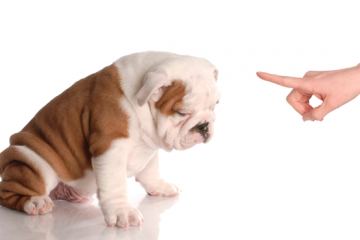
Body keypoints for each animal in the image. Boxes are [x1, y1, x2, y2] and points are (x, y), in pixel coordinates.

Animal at [0, 51, 219, 228]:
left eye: (215, 105)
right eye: (182, 112)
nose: (204, 125)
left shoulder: (149, 145)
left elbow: (150, 170)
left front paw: (159, 187)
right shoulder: (111, 147)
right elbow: (115, 183)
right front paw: (122, 211)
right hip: (35, 162)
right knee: (8, 192)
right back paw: (34, 202)